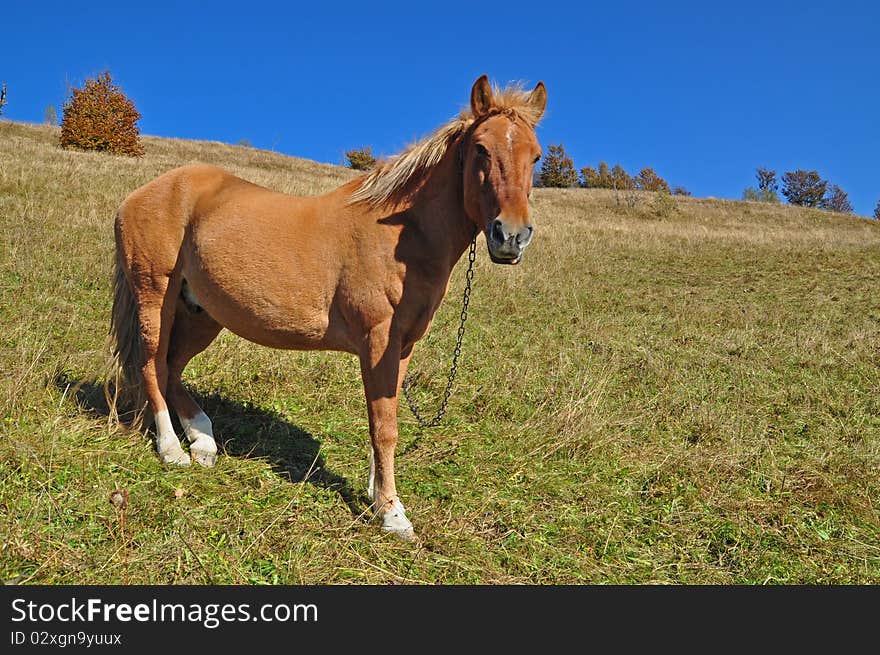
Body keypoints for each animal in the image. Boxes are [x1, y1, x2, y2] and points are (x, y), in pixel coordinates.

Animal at [106, 75, 548, 540]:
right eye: (481, 148)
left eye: (536, 156)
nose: (511, 236)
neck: (402, 236)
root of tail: (144, 193)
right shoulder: (378, 341)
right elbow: (384, 428)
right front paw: (392, 514)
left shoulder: (401, 348)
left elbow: (383, 418)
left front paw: (377, 495)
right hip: (156, 295)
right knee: (153, 365)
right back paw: (172, 449)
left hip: (201, 313)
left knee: (172, 368)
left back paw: (203, 441)